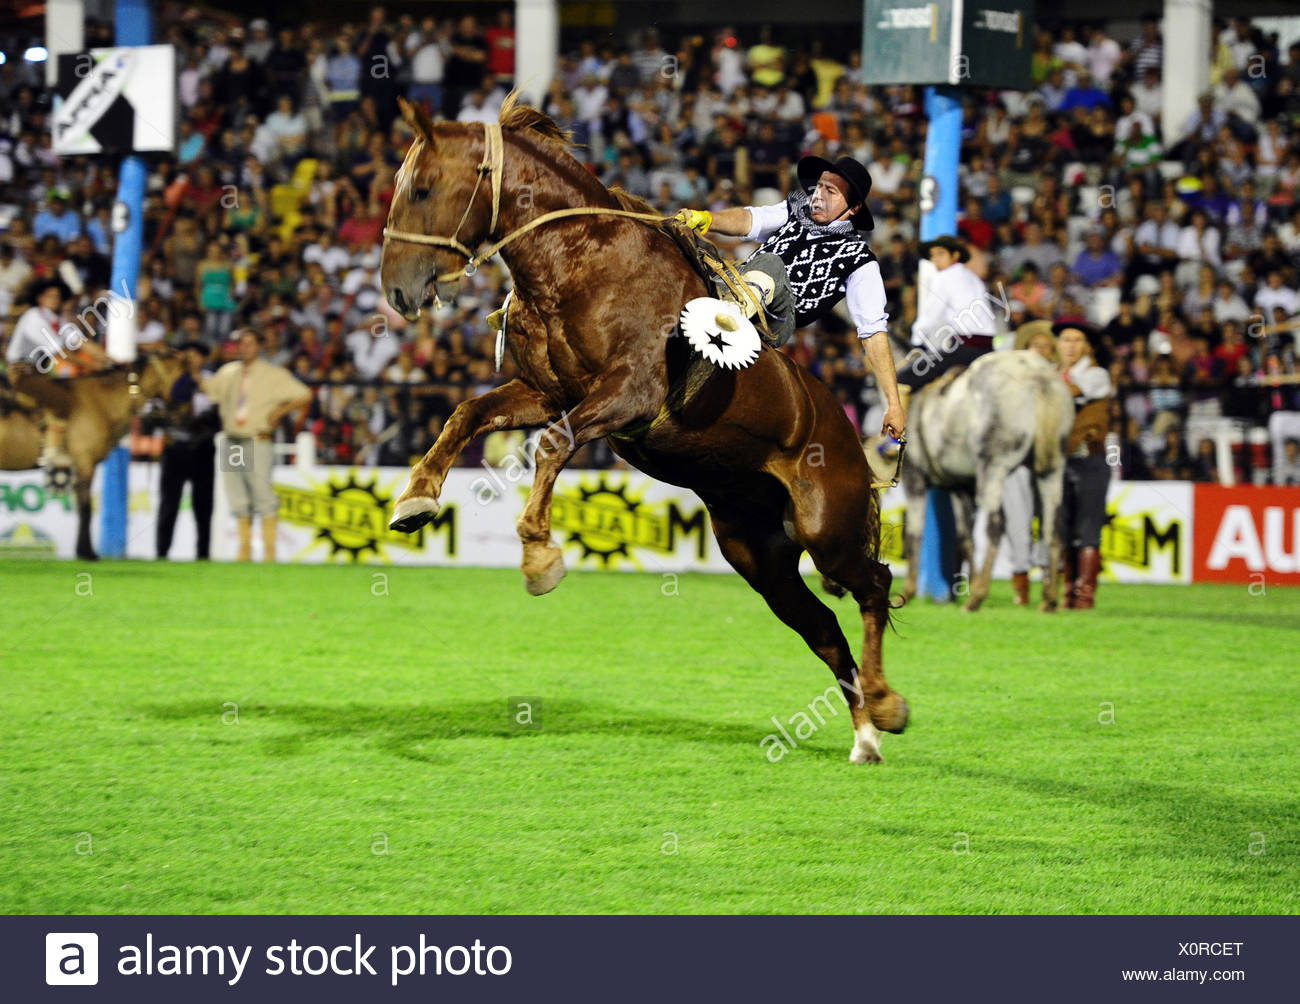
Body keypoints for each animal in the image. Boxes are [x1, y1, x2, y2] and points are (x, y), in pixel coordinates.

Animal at [0, 351, 181, 560]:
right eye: (187, 377)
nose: (185, 414)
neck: (101, 402)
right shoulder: (85, 462)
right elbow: (85, 507)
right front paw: (87, 552)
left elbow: (82, 506)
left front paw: (83, 550)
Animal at [380, 94, 909, 764]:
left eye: (422, 188)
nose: (395, 288)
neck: (586, 260)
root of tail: (849, 439)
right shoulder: (547, 392)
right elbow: (468, 415)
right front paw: (415, 498)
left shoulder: (629, 393)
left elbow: (553, 444)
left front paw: (539, 555)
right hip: (759, 555)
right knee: (824, 629)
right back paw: (865, 735)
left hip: (828, 531)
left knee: (875, 585)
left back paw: (887, 705)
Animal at [898, 350, 1074, 611]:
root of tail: (1036, 374)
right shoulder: (961, 487)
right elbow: (966, 537)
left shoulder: (914, 480)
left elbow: (913, 534)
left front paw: (907, 592)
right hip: (1051, 471)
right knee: (1054, 525)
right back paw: (1049, 598)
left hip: (993, 469)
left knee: (995, 524)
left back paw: (977, 597)